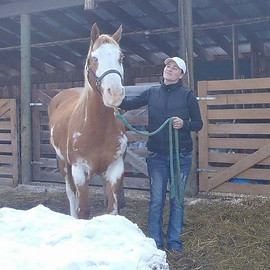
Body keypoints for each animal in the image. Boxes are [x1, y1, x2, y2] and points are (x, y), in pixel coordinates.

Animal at [48, 23, 126, 219]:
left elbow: (113, 209)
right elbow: (83, 210)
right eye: (94, 58)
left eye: (121, 57)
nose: (114, 93)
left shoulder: (115, 169)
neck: (97, 127)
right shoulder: (80, 170)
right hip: (64, 165)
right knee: (71, 194)